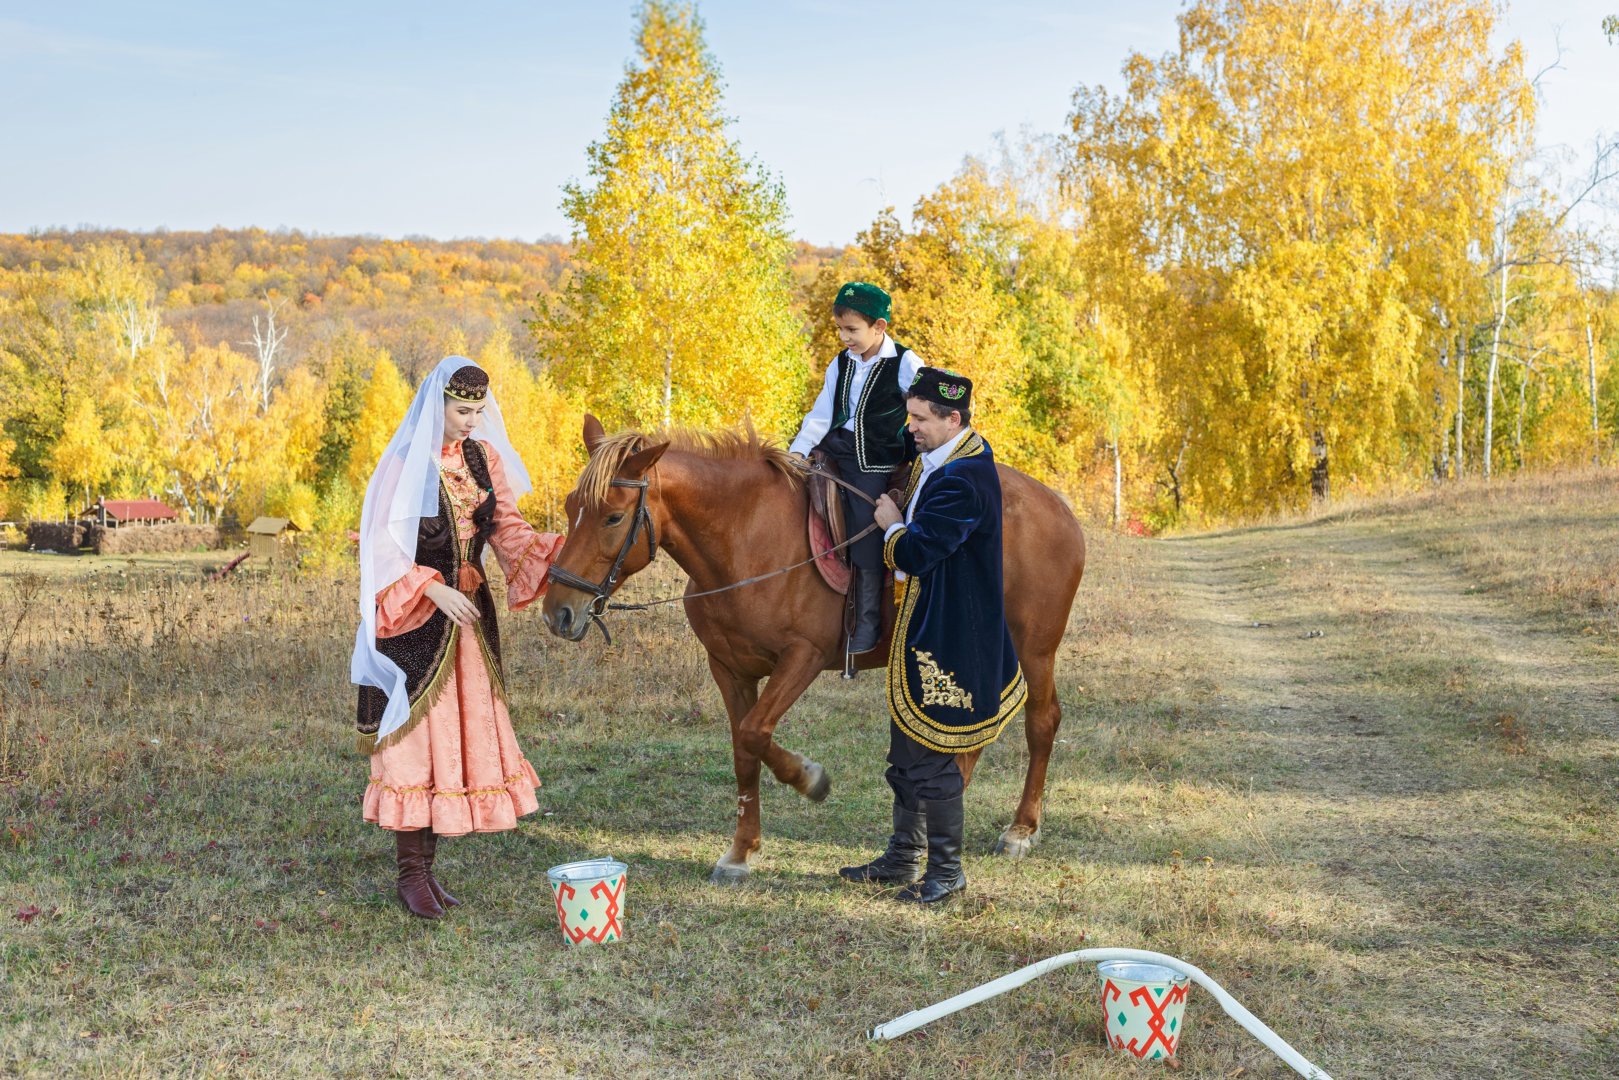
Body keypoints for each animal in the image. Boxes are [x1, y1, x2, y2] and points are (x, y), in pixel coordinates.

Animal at [543, 417, 1087, 880]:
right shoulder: (729, 669)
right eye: (571, 507)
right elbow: (743, 749)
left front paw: (810, 779)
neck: (744, 538)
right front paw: (740, 851)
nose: (558, 612)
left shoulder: (802, 657)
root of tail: (1059, 508)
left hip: (1034, 649)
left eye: (613, 517)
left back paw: (1021, 829)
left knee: (1042, 722)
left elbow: (757, 733)